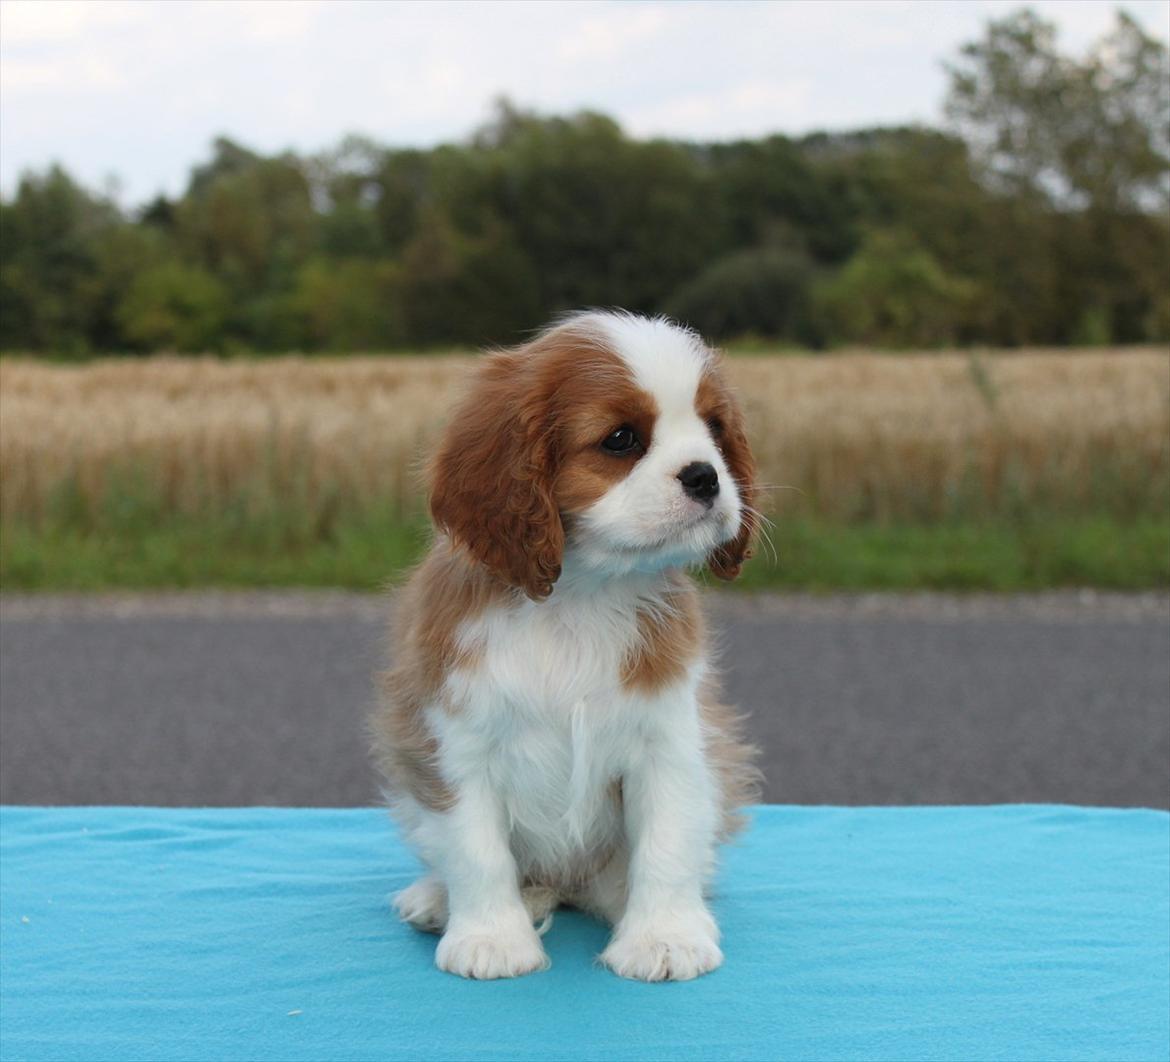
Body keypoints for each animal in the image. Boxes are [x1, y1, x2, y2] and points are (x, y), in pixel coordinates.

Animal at [369, 311, 762, 982]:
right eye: (622, 439)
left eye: (714, 429)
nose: (707, 476)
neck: (578, 596)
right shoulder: (458, 743)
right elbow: (476, 849)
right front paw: (491, 938)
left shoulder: (670, 743)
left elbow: (667, 842)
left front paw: (665, 937)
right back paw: (439, 898)